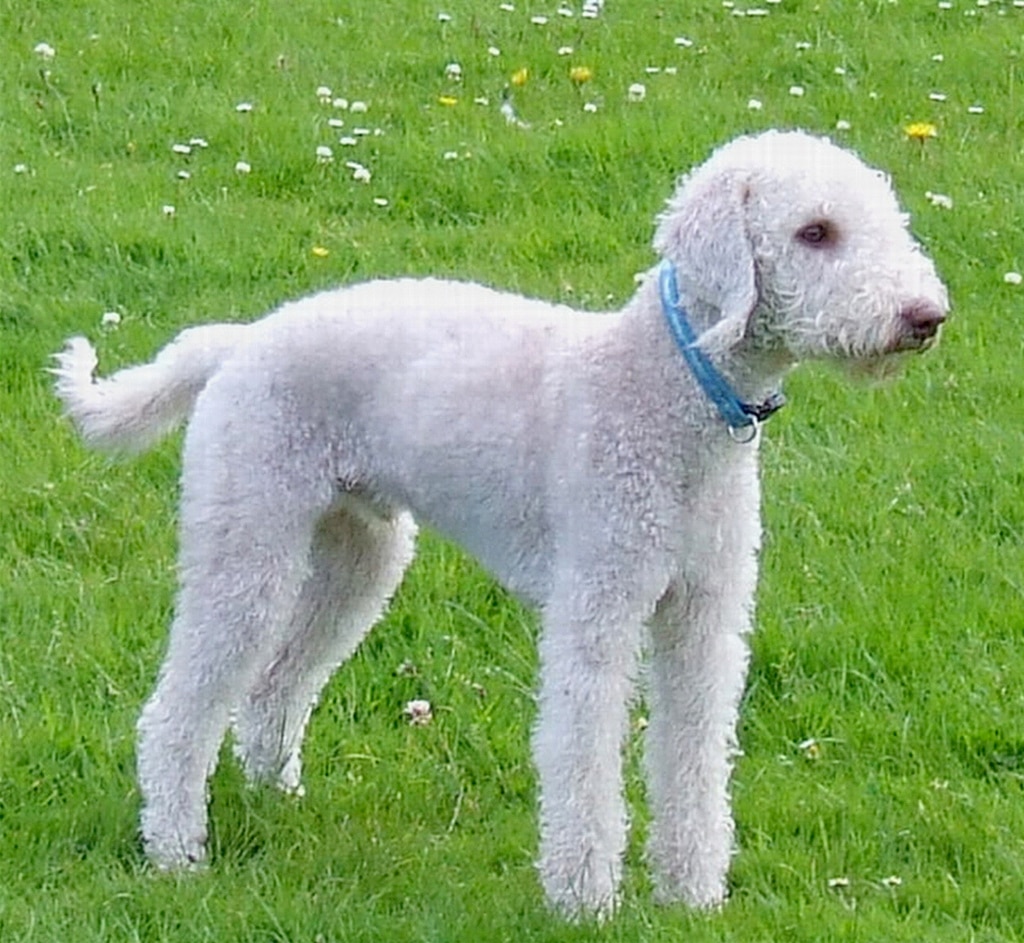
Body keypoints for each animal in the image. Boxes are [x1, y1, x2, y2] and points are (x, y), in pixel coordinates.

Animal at [56, 130, 946, 913]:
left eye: (883, 218)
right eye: (815, 232)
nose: (925, 315)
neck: (668, 392)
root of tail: (237, 344)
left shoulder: (703, 616)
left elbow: (693, 755)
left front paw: (692, 895)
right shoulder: (597, 608)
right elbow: (581, 755)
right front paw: (585, 900)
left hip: (359, 552)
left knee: (277, 685)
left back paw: (278, 798)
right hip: (245, 533)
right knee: (179, 711)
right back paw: (176, 854)